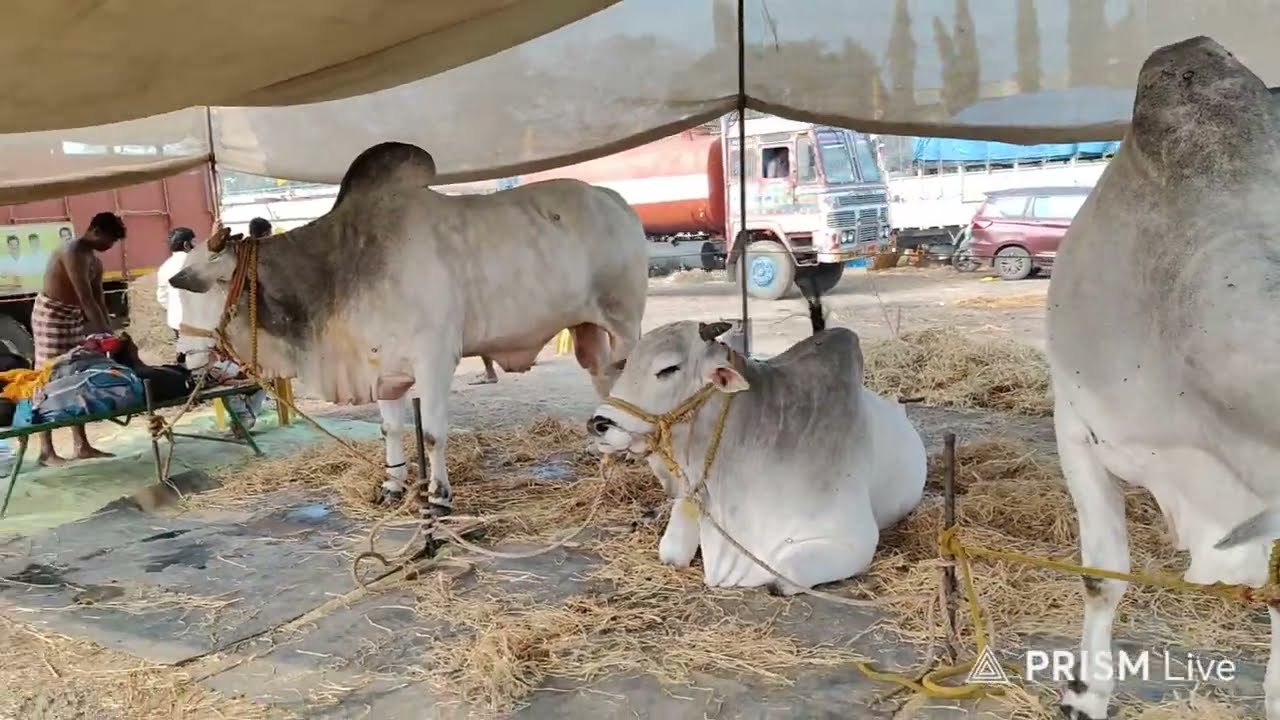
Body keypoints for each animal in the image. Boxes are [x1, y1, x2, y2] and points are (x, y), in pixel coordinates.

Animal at [169, 142, 648, 521]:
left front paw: (438, 497)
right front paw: (393, 486)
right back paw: (609, 451)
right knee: (603, 379)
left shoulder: (434, 359)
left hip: (625, 322)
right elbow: (391, 429)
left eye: (199, 286)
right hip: (588, 328)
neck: (342, 268)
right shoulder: (383, 368)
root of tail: (613, 200)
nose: (184, 355)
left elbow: (432, 433)